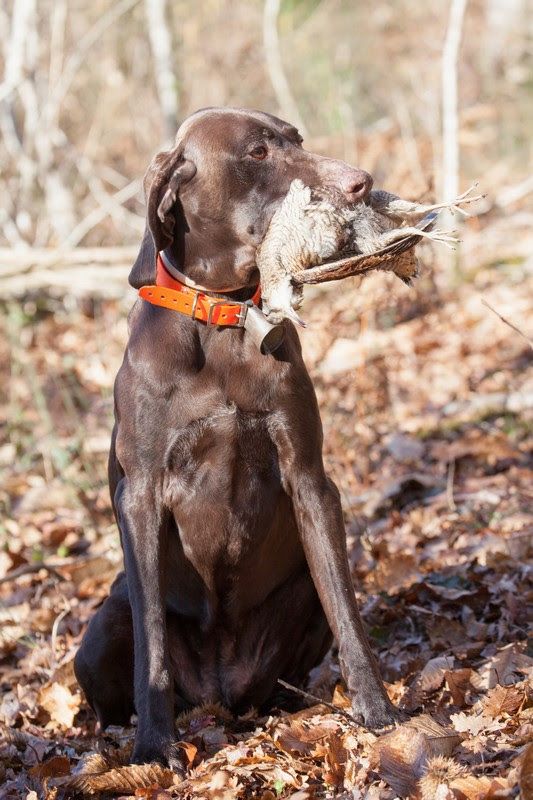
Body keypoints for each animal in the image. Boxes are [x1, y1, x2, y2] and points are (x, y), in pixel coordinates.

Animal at [76, 103, 400, 764]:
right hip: (100, 630)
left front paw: (377, 713)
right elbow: (152, 641)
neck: (222, 320)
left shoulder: (309, 478)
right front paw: (154, 747)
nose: (360, 181)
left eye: (297, 138)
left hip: (298, 596)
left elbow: (350, 616)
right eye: (256, 152)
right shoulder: (140, 495)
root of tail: (218, 695)